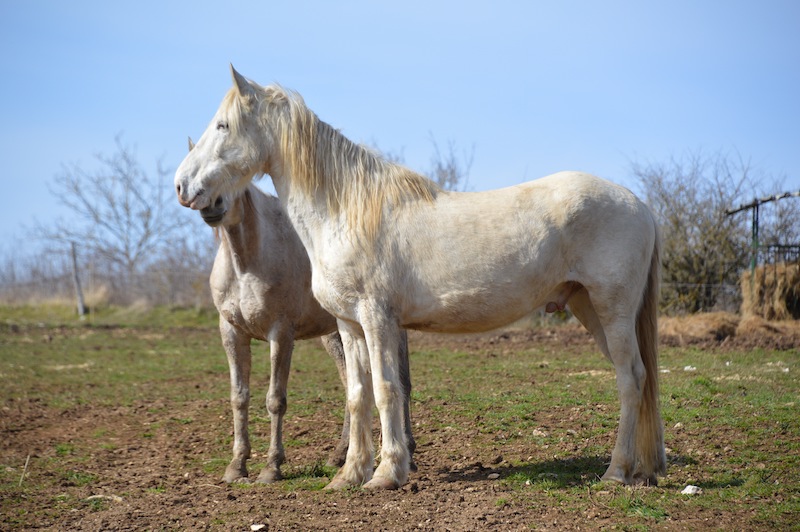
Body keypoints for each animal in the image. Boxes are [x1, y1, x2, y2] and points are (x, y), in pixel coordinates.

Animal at [200, 169, 416, 484]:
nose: (211, 206)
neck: (248, 260)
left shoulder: (281, 333)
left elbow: (275, 399)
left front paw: (272, 467)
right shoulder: (231, 332)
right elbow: (238, 398)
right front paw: (236, 466)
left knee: (402, 381)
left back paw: (408, 454)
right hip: (338, 333)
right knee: (351, 383)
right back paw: (340, 455)